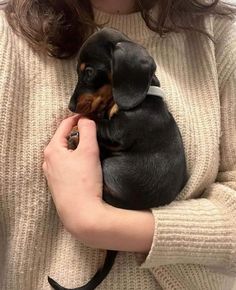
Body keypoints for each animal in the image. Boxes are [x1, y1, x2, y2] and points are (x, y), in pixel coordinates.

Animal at [48, 27, 188, 290]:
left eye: (89, 72)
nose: (71, 106)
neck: (145, 97)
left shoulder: (119, 131)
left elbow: (95, 122)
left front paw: (78, 130)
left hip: (110, 166)